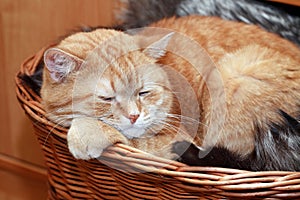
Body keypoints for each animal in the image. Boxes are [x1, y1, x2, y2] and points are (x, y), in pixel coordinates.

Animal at [40, 16, 300, 171]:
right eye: (107, 98)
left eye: (144, 92)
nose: (134, 116)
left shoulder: (176, 141)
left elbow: (136, 141)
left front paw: (88, 132)